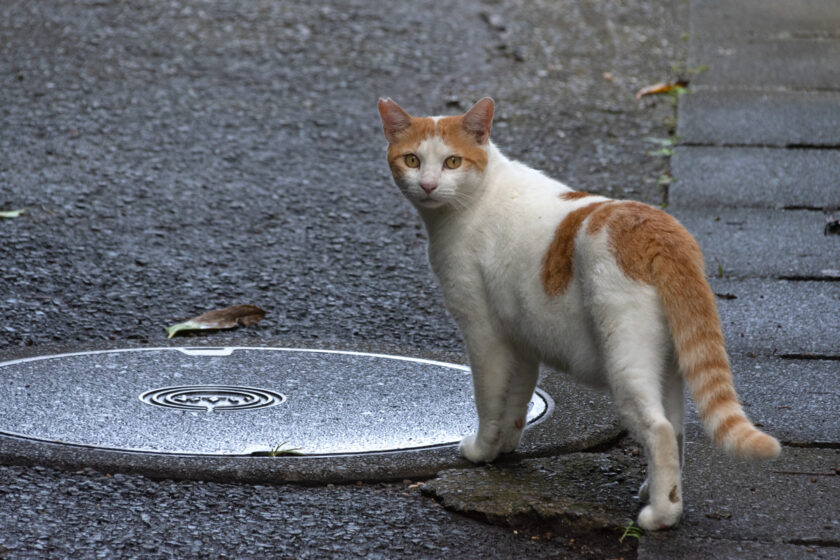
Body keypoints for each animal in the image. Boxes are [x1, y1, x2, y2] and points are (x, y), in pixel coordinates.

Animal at [378, 95, 776, 528]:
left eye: (452, 162)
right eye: (413, 160)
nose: (428, 185)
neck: (476, 198)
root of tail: (658, 228)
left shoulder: (484, 336)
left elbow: (488, 401)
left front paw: (482, 451)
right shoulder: (522, 341)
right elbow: (516, 402)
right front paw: (505, 447)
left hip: (625, 361)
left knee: (659, 429)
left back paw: (661, 514)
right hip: (668, 365)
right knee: (677, 426)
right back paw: (656, 490)